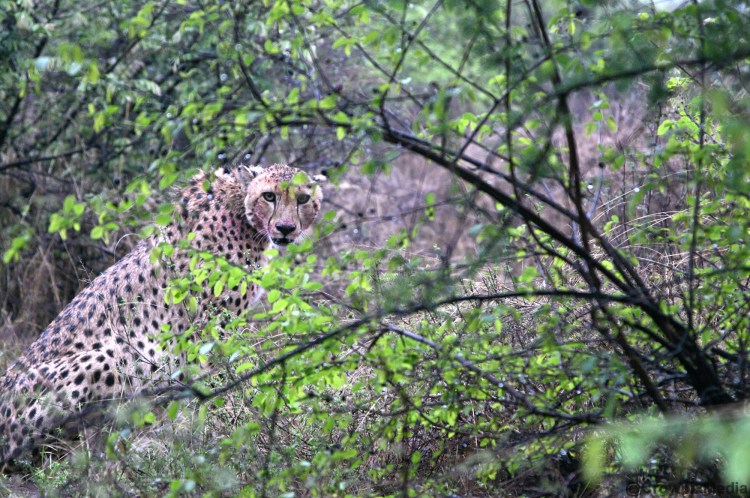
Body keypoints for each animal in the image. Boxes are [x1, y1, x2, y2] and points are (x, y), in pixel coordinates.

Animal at [0, 163, 326, 465]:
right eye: (269, 196)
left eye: (303, 198)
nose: (285, 228)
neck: (240, 207)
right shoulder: (209, 326)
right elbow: (216, 380)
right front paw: (217, 429)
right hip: (111, 357)